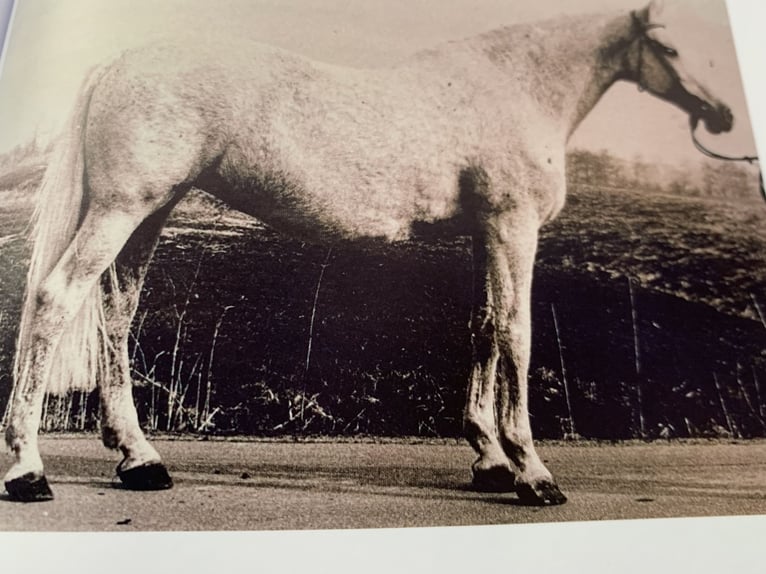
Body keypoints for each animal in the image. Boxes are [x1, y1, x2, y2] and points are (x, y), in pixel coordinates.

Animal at [3, 0, 733, 505]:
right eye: (667, 45)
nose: (724, 116)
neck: (517, 86)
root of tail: (116, 64)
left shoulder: (483, 233)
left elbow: (481, 330)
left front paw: (489, 460)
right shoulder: (511, 226)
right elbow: (515, 334)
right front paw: (531, 470)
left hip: (149, 212)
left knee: (116, 314)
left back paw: (140, 459)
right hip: (121, 209)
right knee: (55, 300)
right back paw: (28, 470)